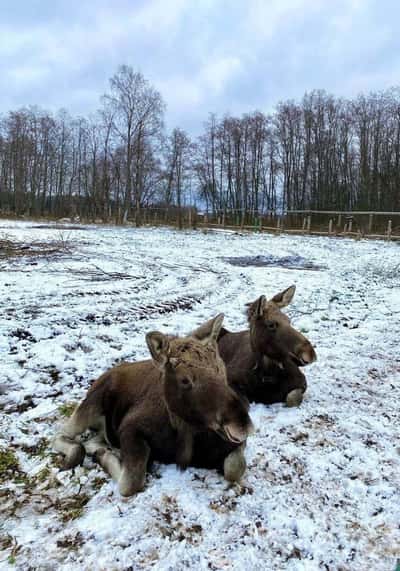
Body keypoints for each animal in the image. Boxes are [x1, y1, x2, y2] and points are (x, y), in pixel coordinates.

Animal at [53, 316, 253, 498]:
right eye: (184, 380)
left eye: (221, 368)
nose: (243, 424)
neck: (184, 433)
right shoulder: (129, 429)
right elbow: (130, 483)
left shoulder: (233, 444)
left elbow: (235, 467)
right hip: (91, 403)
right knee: (64, 437)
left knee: (91, 441)